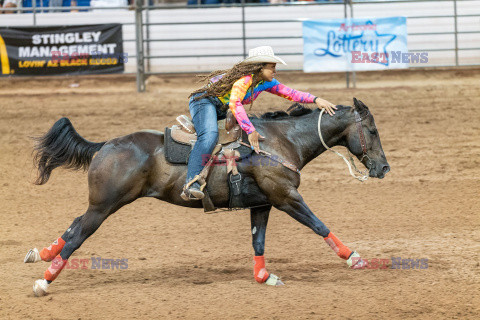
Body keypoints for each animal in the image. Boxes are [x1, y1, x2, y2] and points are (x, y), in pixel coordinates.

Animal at [24, 98, 390, 296]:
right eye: (372, 131)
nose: (384, 168)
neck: (279, 142)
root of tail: (106, 145)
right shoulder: (286, 196)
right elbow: (319, 225)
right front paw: (355, 258)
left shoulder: (263, 202)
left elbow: (258, 240)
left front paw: (264, 276)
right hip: (104, 207)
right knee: (77, 236)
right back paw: (44, 282)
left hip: (101, 205)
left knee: (74, 224)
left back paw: (41, 253)